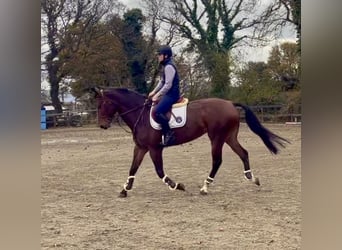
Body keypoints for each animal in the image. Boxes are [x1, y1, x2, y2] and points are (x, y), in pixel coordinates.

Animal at [90, 87, 288, 198]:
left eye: (102, 104)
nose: (102, 125)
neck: (142, 115)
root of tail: (230, 103)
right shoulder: (141, 148)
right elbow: (133, 168)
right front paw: (125, 190)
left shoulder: (155, 149)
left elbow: (159, 171)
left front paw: (177, 186)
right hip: (229, 137)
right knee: (243, 153)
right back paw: (252, 178)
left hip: (216, 138)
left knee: (217, 161)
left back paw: (205, 187)